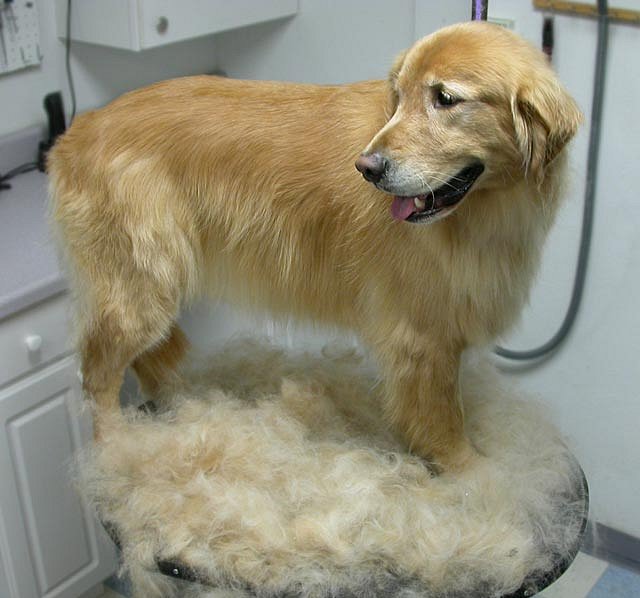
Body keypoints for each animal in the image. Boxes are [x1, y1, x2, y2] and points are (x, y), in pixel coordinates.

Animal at [47, 22, 584, 474]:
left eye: (446, 98)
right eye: (399, 96)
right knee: (97, 375)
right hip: (141, 291)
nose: (367, 167)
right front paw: (472, 473)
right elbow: (443, 424)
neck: (481, 211)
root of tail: (77, 130)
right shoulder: (422, 342)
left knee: (146, 360)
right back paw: (115, 450)